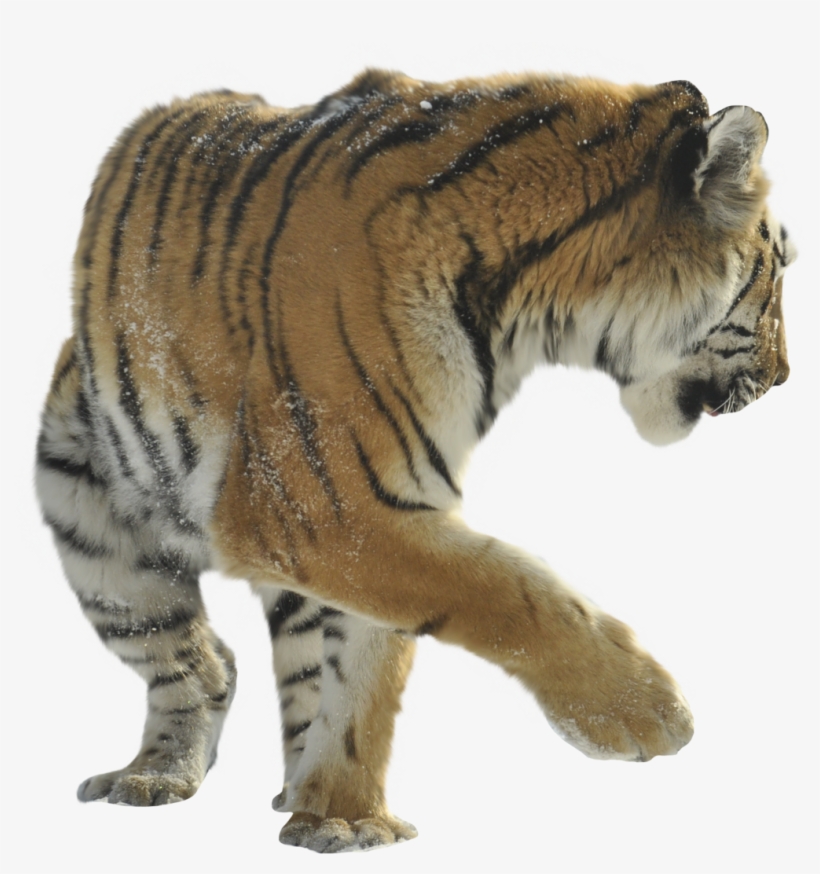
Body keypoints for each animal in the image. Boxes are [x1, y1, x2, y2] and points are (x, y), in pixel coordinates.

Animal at [35, 68, 795, 853]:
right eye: (780, 271)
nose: (785, 377)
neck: (533, 312)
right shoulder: (322, 504)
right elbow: (502, 590)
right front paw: (645, 711)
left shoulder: (389, 498)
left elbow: (368, 673)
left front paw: (343, 815)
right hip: (100, 543)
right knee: (198, 664)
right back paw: (152, 778)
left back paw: (293, 791)